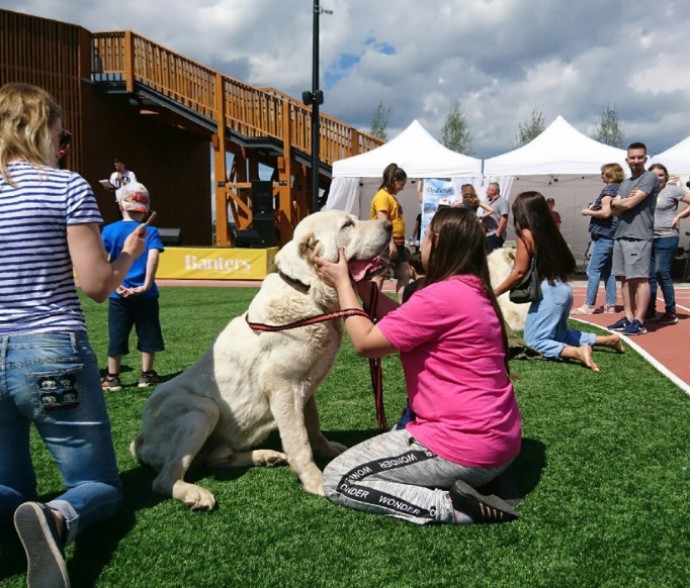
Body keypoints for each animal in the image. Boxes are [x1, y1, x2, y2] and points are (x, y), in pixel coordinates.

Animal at [132, 211, 390, 510]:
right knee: (164, 478)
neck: (305, 291)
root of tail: (139, 440)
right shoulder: (284, 388)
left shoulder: (306, 389)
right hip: (203, 409)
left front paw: (326, 450)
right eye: (347, 225)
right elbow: (299, 440)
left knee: (215, 459)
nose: (389, 224)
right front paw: (315, 480)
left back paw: (264, 456)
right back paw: (194, 493)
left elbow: (313, 427)